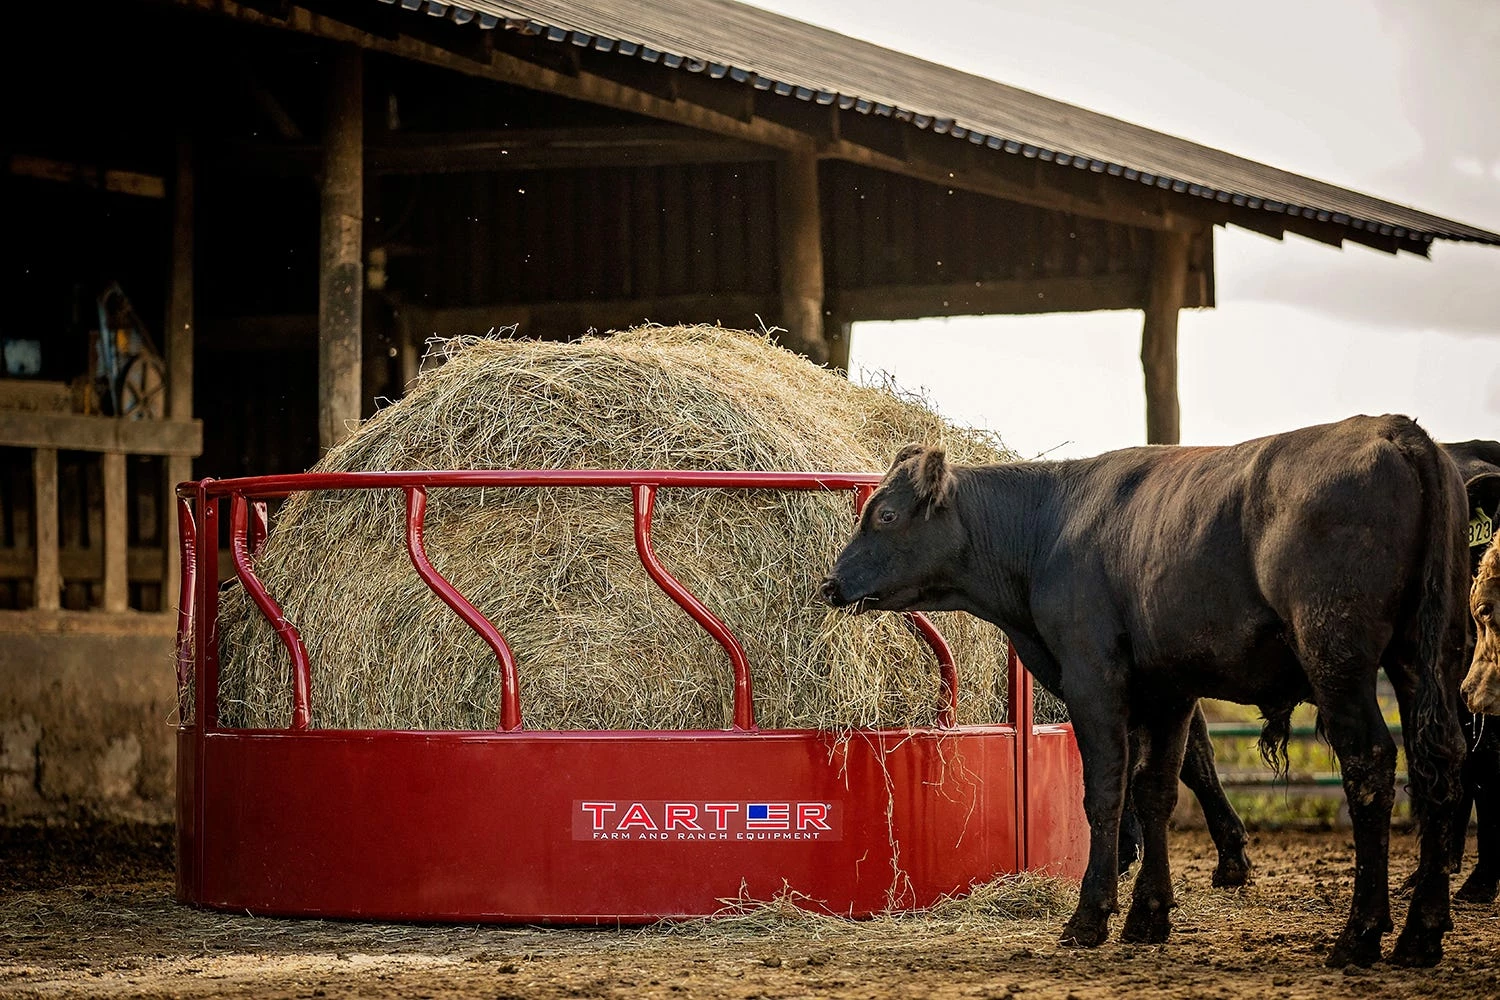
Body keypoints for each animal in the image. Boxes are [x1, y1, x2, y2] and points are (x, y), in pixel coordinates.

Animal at [821, 415, 1470, 967]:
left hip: (1338, 658)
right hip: (1428, 662)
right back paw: (1420, 933)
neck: (1048, 528)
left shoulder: (1093, 679)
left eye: (885, 515)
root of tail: (1393, 430)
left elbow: (1106, 793)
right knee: (1440, 764)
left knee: (1371, 766)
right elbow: (1156, 789)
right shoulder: (1168, 690)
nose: (830, 583)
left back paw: (1360, 933)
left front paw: (1090, 916)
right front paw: (1149, 915)